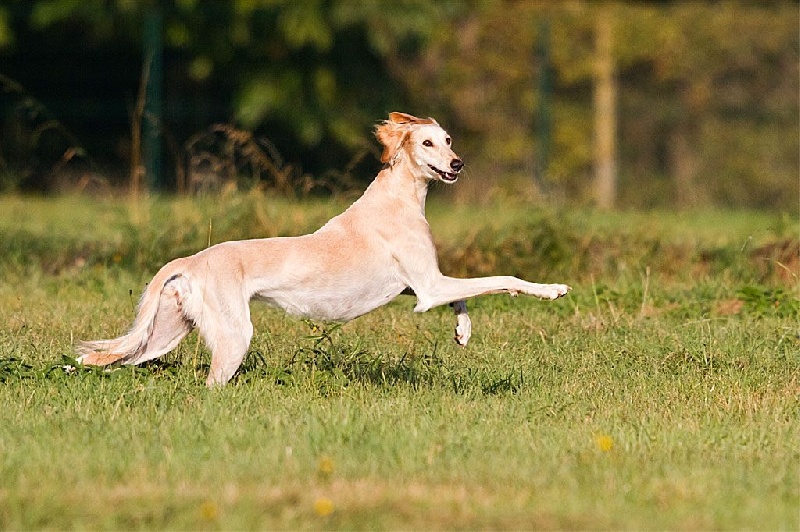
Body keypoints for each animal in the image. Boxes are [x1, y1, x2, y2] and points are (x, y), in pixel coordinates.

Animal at [78, 113, 572, 386]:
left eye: (448, 139)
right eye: (427, 142)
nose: (457, 163)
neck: (398, 196)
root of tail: (192, 260)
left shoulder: (418, 287)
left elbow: (464, 297)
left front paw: (463, 331)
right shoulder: (430, 286)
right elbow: (500, 280)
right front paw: (551, 290)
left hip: (166, 331)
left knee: (109, 357)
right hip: (234, 336)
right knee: (210, 384)